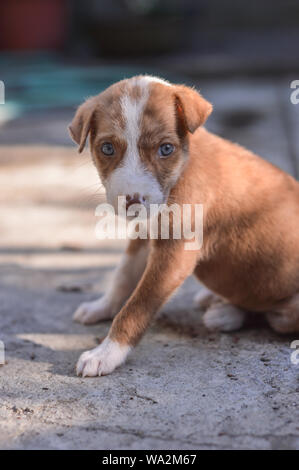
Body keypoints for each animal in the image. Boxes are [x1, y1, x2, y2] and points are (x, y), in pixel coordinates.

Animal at [69, 77, 299, 378]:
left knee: (271, 314)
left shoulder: (175, 254)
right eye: (107, 148)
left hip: (286, 312)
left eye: (166, 149)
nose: (132, 201)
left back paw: (225, 314)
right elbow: (122, 276)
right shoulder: (145, 234)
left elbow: (137, 306)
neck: (181, 170)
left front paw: (106, 353)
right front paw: (102, 307)